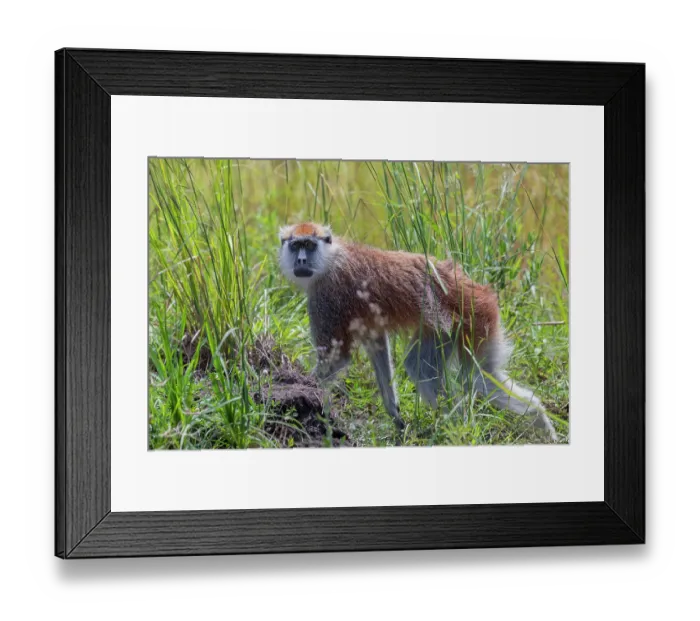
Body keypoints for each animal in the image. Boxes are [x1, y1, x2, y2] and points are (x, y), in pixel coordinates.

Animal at [278, 222, 558, 442]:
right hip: (452, 329)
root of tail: (479, 290)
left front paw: (297, 391)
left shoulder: (328, 297)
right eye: (295, 245)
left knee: (472, 377)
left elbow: (336, 358)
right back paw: (537, 417)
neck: (331, 257)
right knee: (448, 370)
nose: (301, 260)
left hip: (476, 320)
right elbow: (377, 343)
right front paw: (394, 414)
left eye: (309, 245)